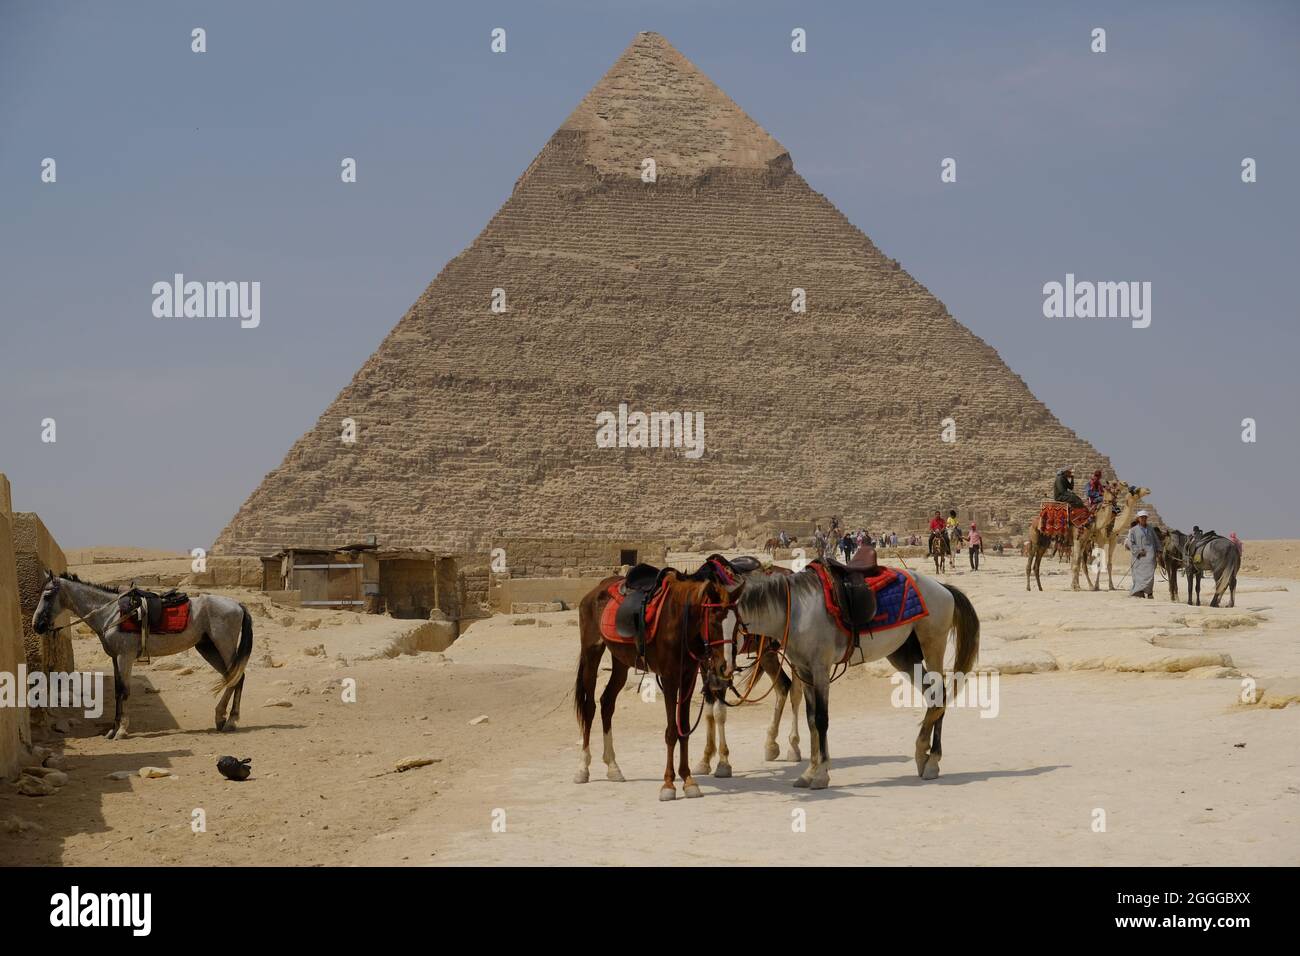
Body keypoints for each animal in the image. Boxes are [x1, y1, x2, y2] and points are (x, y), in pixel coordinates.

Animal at [32, 574, 253, 738]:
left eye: (47, 595)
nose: (37, 625)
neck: (112, 614)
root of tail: (238, 605)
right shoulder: (115, 657)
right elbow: (117, 690)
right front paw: (113, 729)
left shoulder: (125, 656)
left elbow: (124, 690)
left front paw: (121, 730)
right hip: (208, 648)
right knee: (231, 677)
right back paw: (221, 718)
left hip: (224, 645)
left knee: (237, 678)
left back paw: (231, 721)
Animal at [572, 567, 743, 801]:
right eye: (715, 621)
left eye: (736, 624)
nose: (726, 666)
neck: (681, 622)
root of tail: (594, 592)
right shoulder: (670, 678)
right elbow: (671, 732)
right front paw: (669, 784)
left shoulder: (688, 677)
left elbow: (684, 729)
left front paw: (688, 780)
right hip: (592, 652)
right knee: (590, 707)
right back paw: (583, 768)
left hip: (621, 661)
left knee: (607, 703)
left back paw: (613, 767)